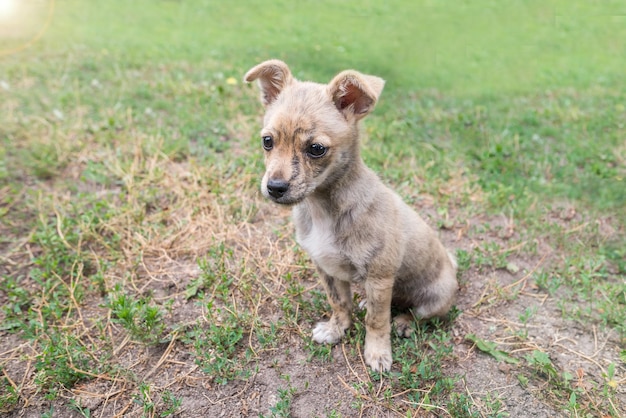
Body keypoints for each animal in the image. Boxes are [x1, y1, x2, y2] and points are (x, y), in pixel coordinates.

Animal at [245, 60, 458, 370]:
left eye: (316, 149)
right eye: (267, 141)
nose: (275, 187)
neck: (322, 208)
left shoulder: (379, 276)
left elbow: (376, 320)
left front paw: (378, 353)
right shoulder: (328, 269)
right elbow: (339, 303)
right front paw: (337, 329)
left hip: (435, 298)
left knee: (417, 315)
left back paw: (404, 322)